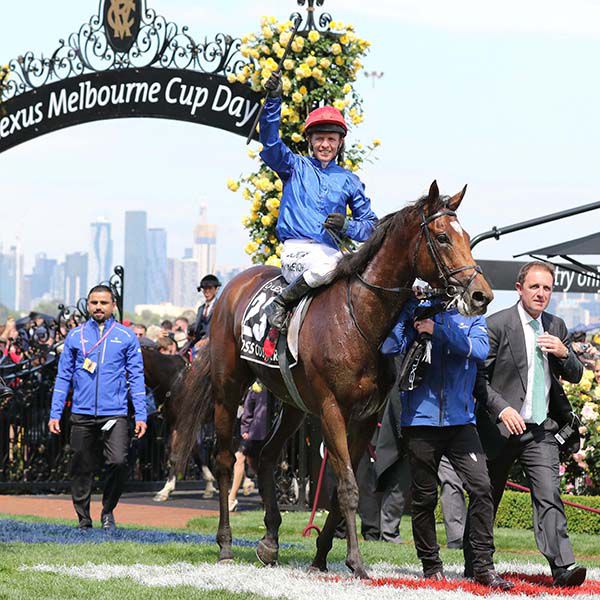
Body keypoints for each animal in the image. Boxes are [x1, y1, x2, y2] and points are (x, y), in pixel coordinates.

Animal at [173, 182, 492, 576]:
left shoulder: (366, 418)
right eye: (443, 237)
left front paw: (321, 558)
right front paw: (356, 561)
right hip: (228, 389)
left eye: (466, 236)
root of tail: (230, 288)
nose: (481, 295)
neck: (359, 320)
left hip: (292, 404)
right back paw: (226, 544)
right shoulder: (331, 410)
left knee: (265, 455)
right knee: (223, 460)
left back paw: (270, 541)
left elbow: (344, 489)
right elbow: (348, 487)